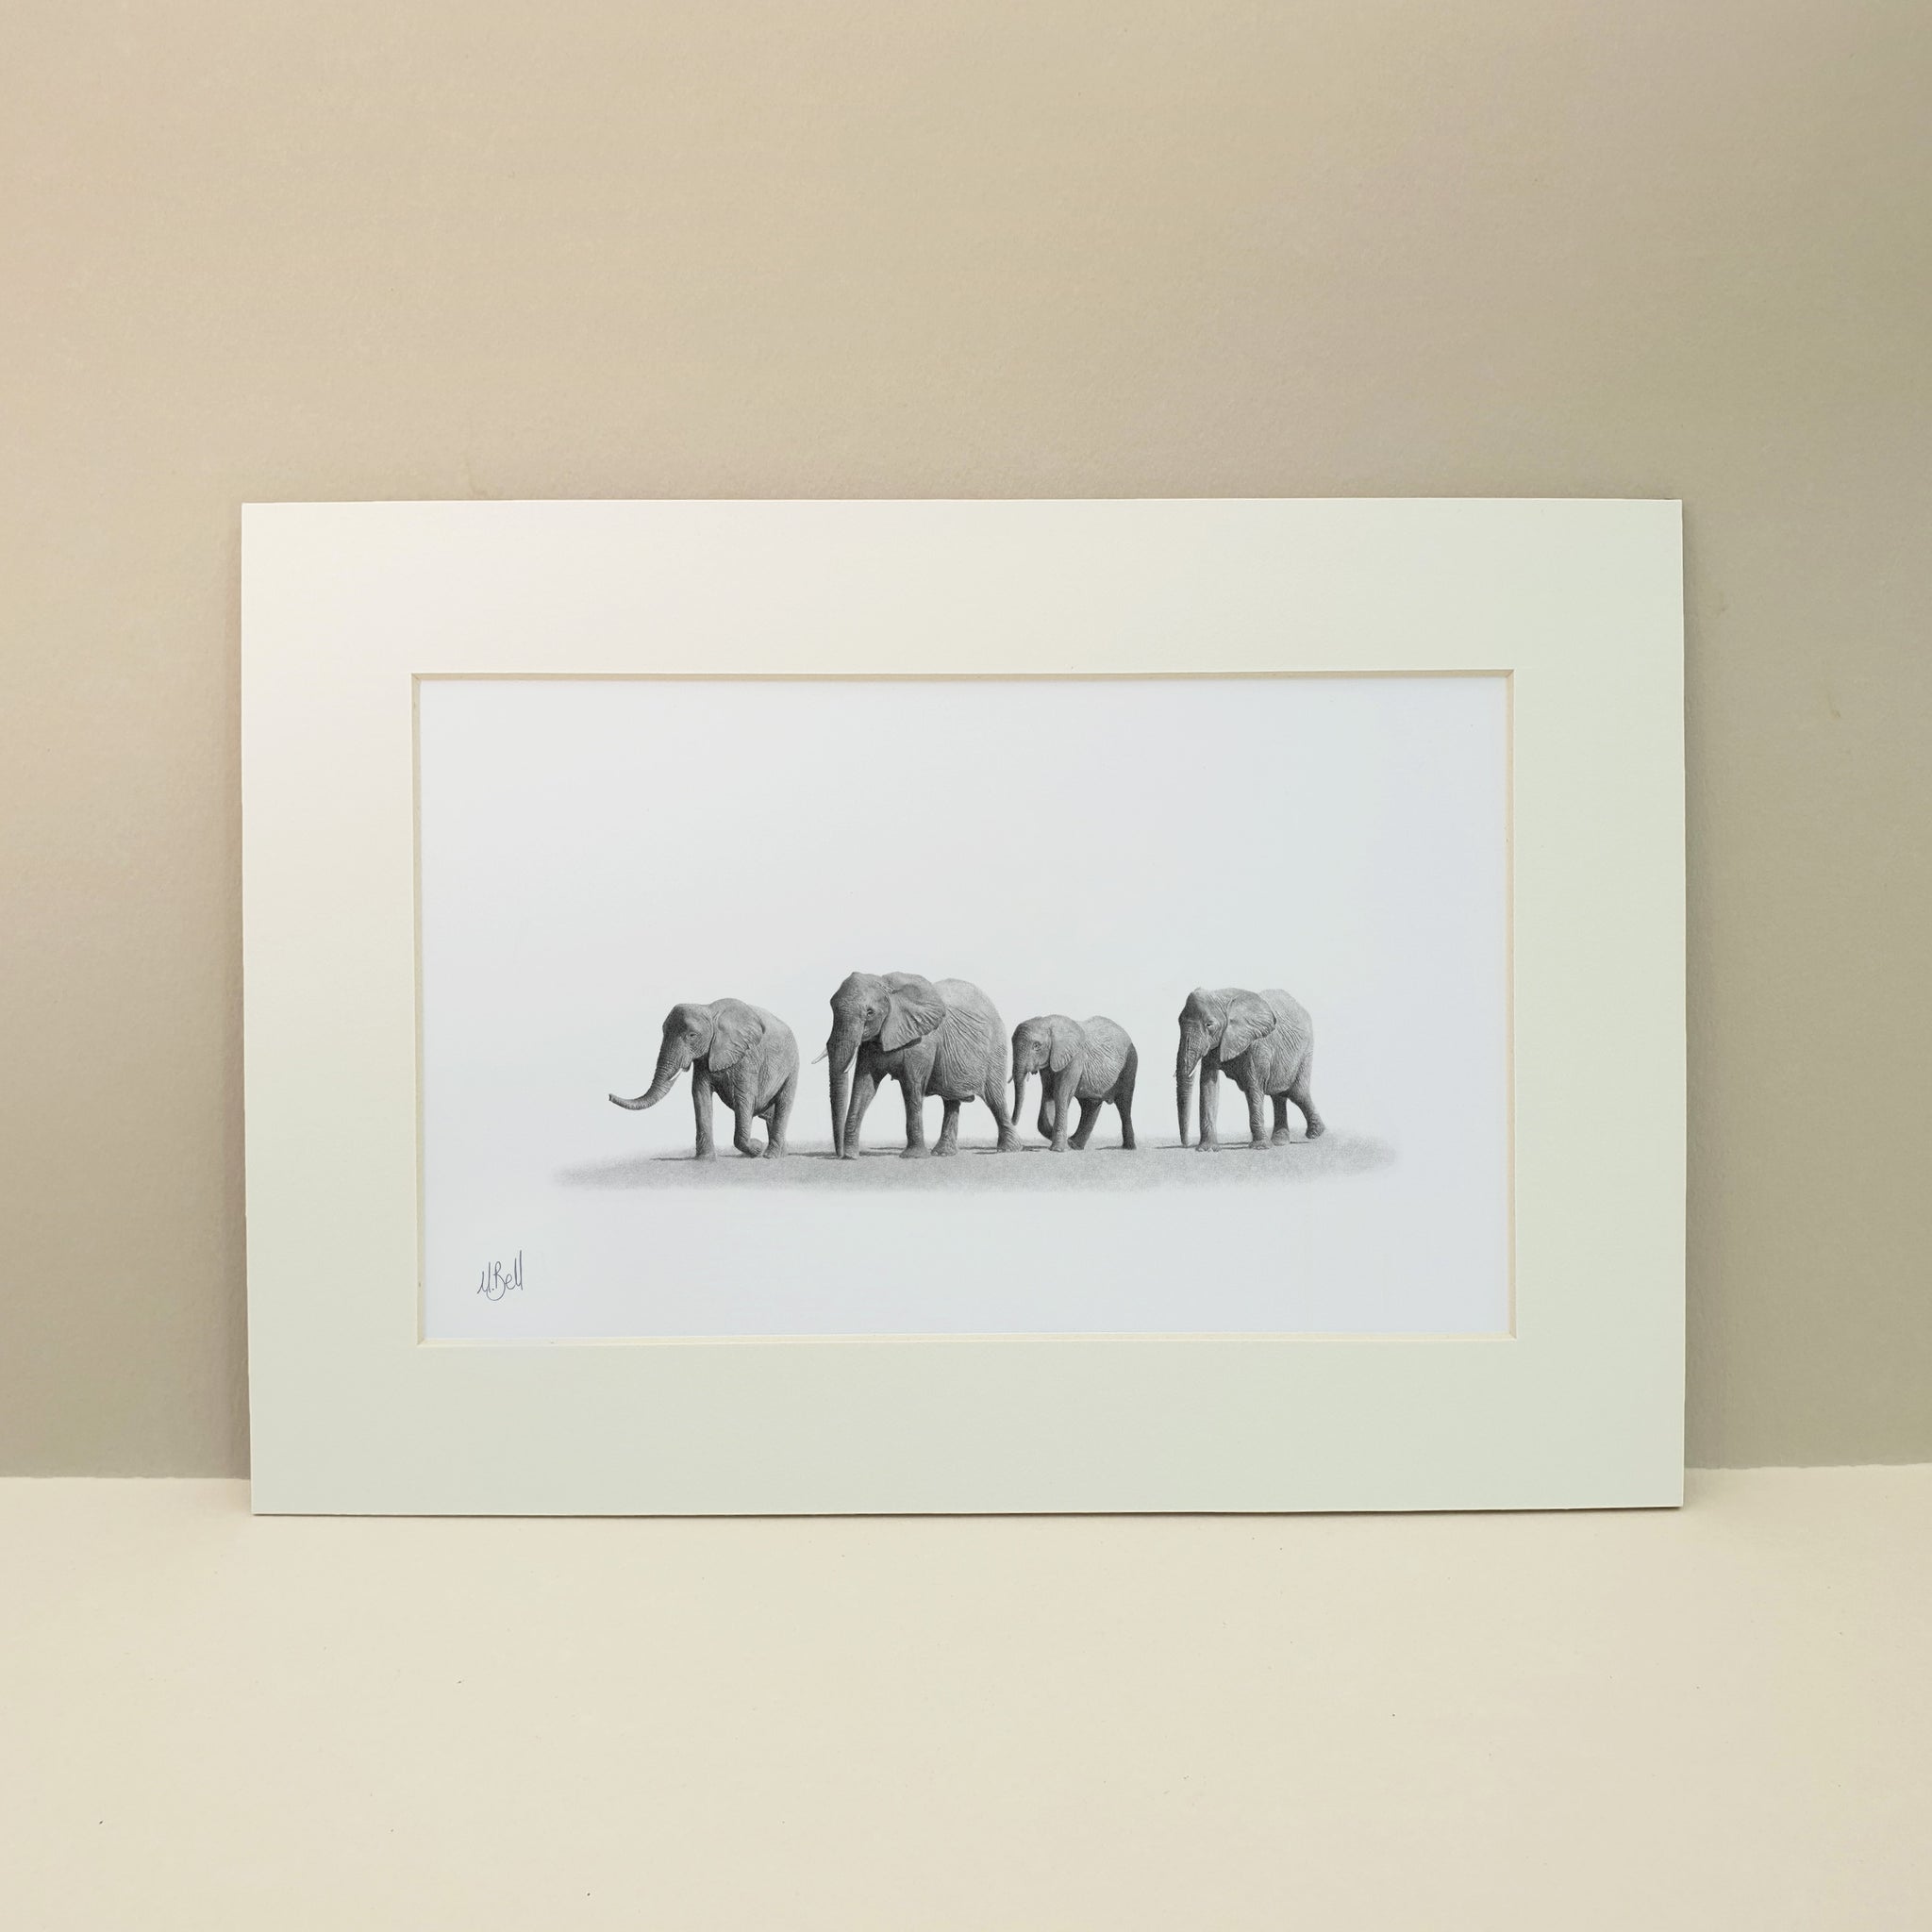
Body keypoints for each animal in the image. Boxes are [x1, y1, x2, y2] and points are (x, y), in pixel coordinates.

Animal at [607, 1004, 795, 1151]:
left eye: (692, 1035)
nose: (608, 1095)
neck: (709, 1011)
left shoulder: (747, 1057)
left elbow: (744, 1098)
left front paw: (757, 1147)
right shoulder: (703, 1060)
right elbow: (699, 1094)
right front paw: (705, 1160)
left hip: (793, 1066)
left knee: (783, 1103)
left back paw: (770, 1155)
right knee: (770, 1114)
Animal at [819, 974, 1020, 1151]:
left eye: (870, 1012)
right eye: (832, 1008)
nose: (839, 1154)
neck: (888, 986)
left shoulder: (922, 1042)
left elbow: (911, 1087)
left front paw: (914, 1156)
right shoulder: (870, 1044)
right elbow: (864, 1086)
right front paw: (852, 1156)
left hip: (996, 1051)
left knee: (995, 1099)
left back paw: (1007, 1149)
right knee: (951, 1101)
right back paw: (943, 1153)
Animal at [1004, 1020, 1136, 1151]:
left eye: (1036, 1045)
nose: (1012, 1121)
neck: (1048, 1022)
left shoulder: (1075, 1058)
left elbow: (1061, 1093)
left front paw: (1059, 1149)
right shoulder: (1050, 1062)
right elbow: (1048, 1093)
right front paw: (1066, 1142)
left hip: (1129, 1067)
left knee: (1124, 1104)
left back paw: (1128, 1148)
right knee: (1090, 1105)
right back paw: (1075, 1145)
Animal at [1166, 989, 1321, 1151]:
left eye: (1209, 1025)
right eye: (1179, 1022)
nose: (1186, 1144)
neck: (1222, 998)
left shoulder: (1257, 1044)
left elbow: (1253, 1087)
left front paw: (1260, 1147)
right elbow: (1208, 1086)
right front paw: (1206, 1149)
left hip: (1305, 1052)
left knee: (1297, 1092)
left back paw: (1314, 1133)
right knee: (1278, 1095)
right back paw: (1280, 1142)